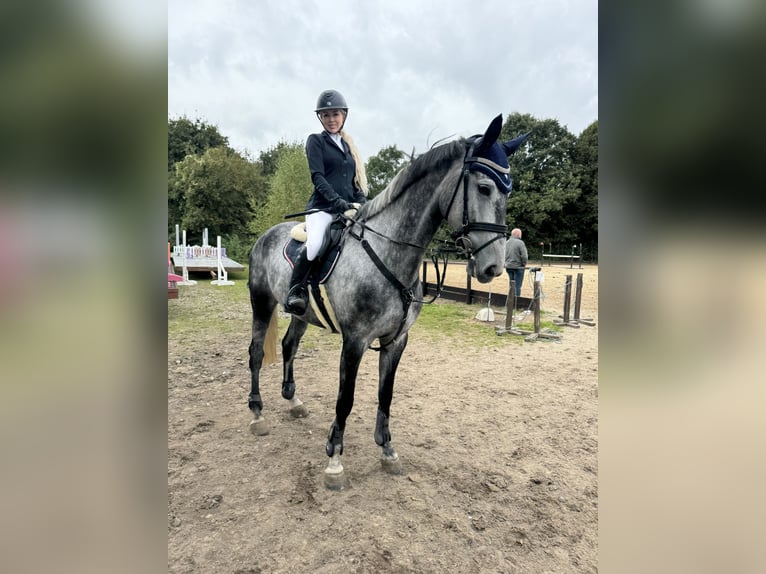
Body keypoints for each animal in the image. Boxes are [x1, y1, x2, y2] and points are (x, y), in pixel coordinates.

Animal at [249, 116, 532, 490]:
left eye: (508, 192)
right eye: (485, 188)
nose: (493, 268)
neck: (389, 252)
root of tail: (265, 235)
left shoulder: (396, 340)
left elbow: (386, 394)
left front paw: (387, 451)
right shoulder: (355, 341)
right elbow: (346, 399)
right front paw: (335, 461)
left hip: (302, 314)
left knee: (288, 345)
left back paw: (293, 400)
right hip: (261, 302)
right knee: (256, 353)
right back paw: (256, 413)